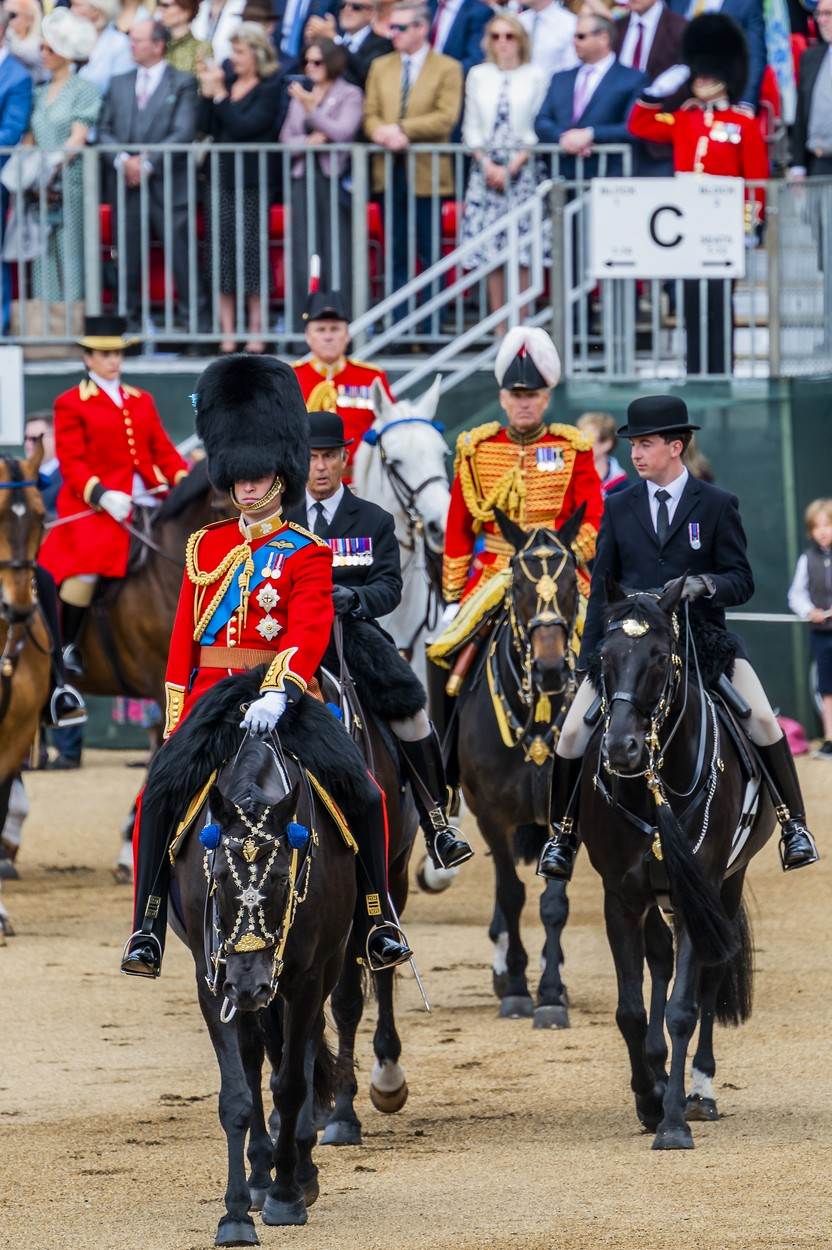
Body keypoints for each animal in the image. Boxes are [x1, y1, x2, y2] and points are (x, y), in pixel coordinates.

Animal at [579, 580, 774, 1145]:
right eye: (605, 656)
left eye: (660, 658)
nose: (621, 749)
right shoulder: (622, 898)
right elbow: (629, 1008)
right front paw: (649, 1098)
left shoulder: (698, 894)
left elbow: (684, 1009)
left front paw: (671, 1121)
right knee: (661, 964)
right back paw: (662, 1073)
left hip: (725, 887)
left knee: (708, 979)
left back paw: (700, 1091)